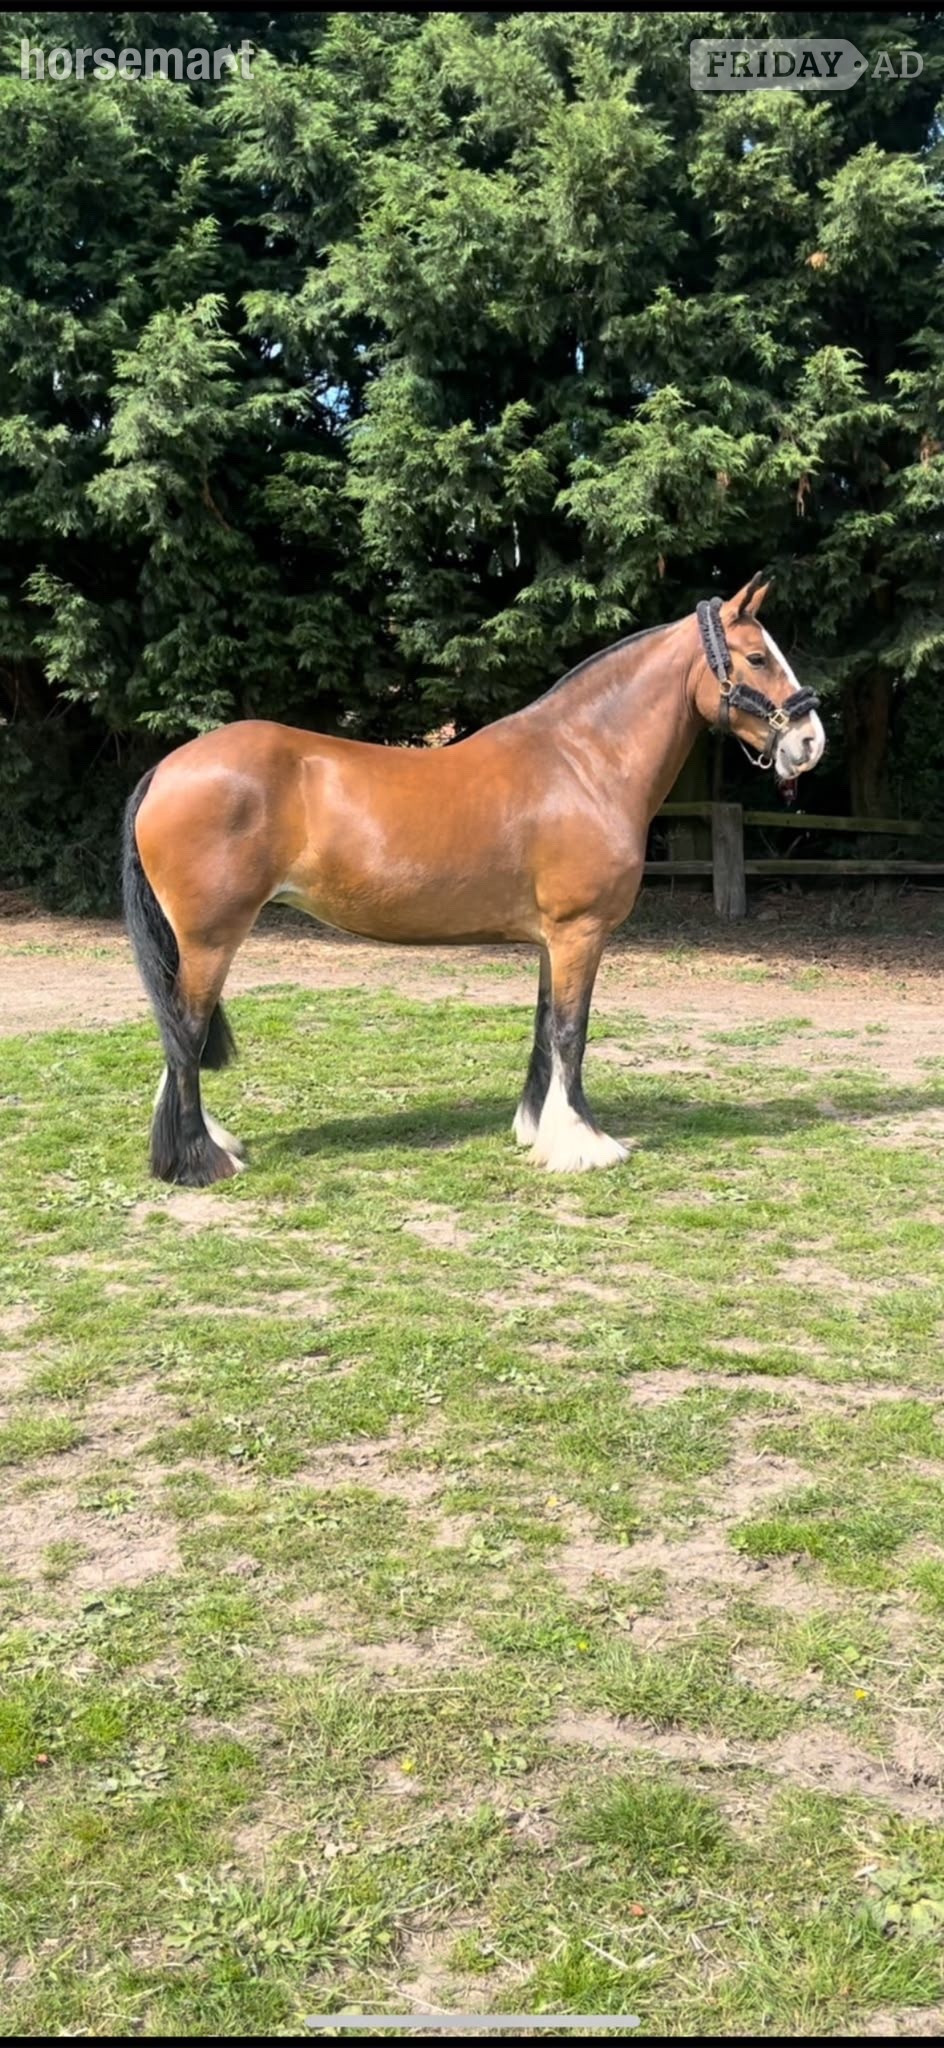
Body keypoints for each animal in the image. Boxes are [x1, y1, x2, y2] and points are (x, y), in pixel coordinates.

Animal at [122, 574, 824, 1184]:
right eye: (757, 657)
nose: (810, 743)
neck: (582, 763)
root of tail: (167, 768)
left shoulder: (552, 940)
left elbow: (545, 1028)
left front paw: (539, 1130)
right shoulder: (581, 933)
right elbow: (572, 1031)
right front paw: (585, 1145)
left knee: (178, 1033)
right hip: (212, 938)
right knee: (186, 1029)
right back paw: (199, 1162)